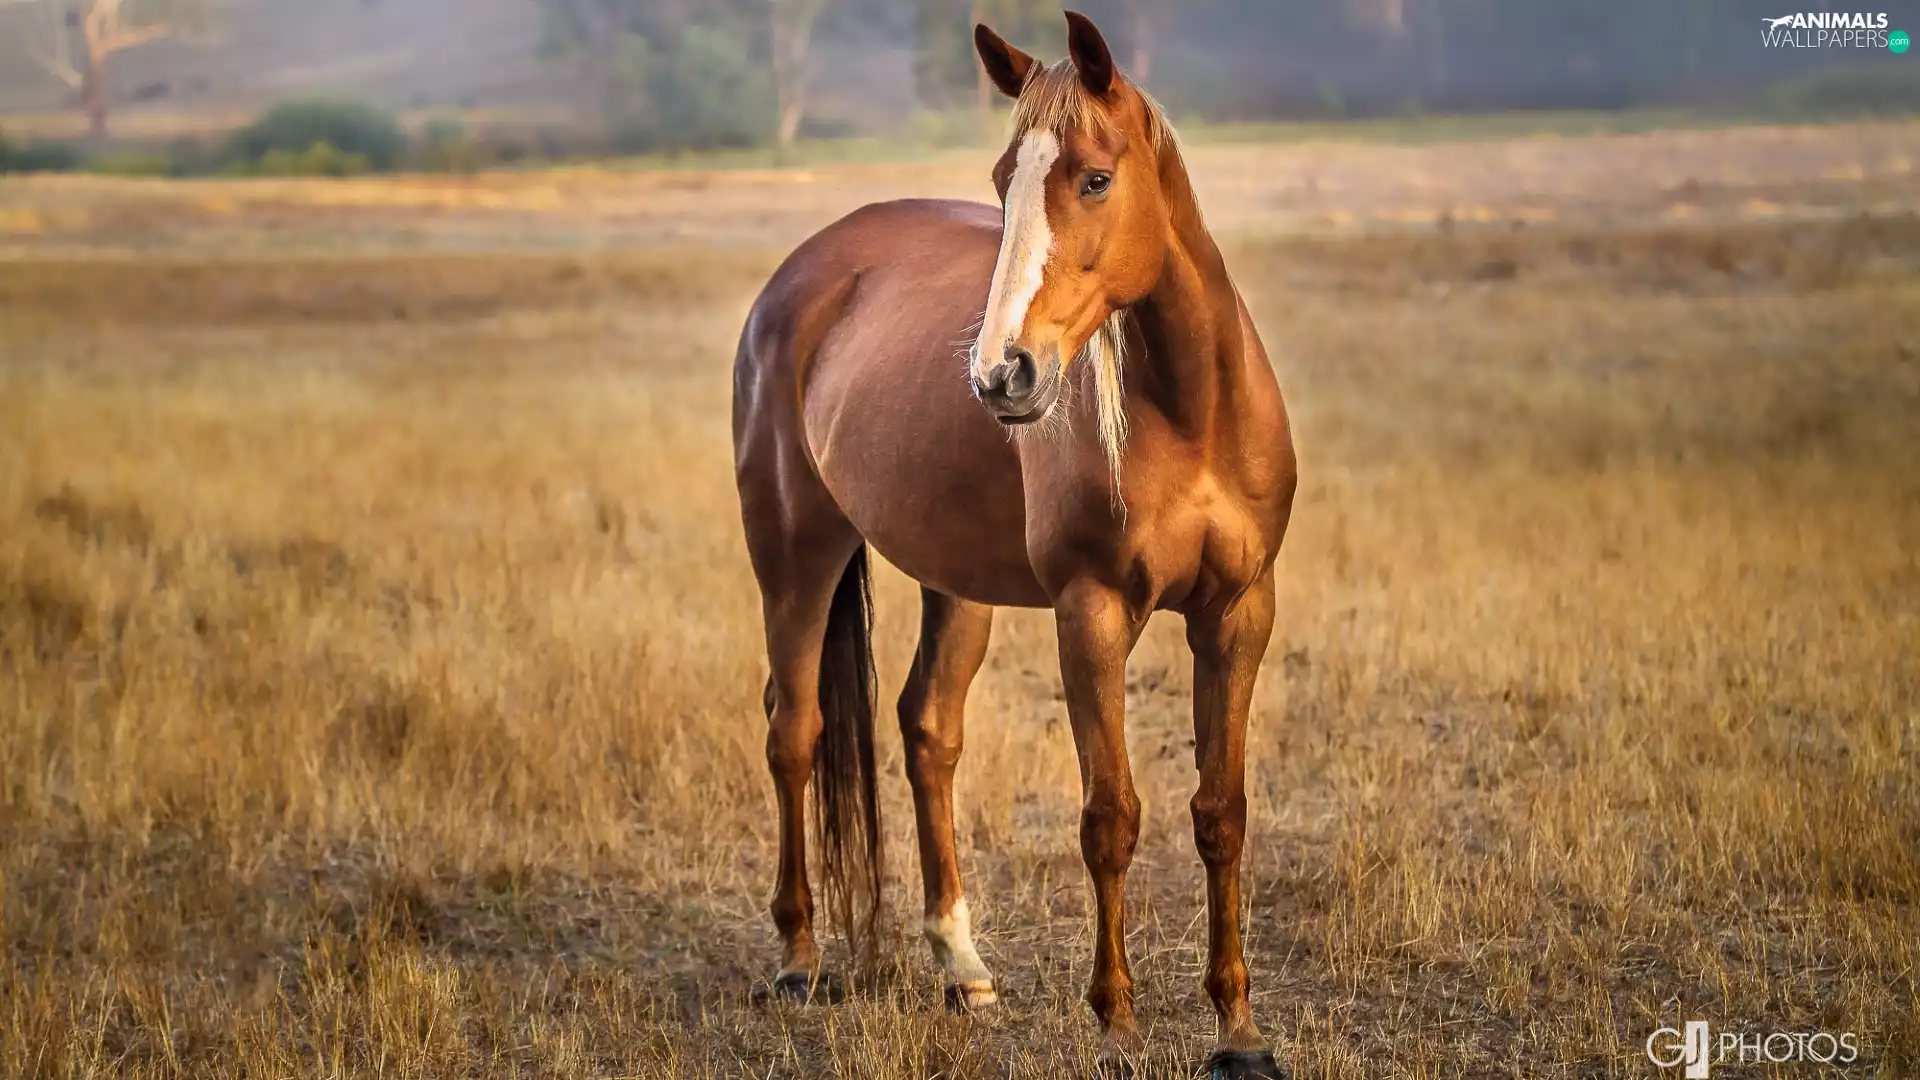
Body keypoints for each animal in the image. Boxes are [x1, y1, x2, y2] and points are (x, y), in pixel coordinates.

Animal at [731, 12, 1297, 1078]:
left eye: (1095, 178)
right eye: (1003, 180)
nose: (1003, 375)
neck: (1189, 412)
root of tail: (800, 276)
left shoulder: (1238, 614)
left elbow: (1221, 812)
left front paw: (1239, 1031)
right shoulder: (1093, 614)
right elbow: (1111, 815)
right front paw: (1117, 1025)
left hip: (956, 583)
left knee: (927, 731)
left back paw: (963, 968)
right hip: (796, 551)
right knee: (795, 730)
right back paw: (797, 959)